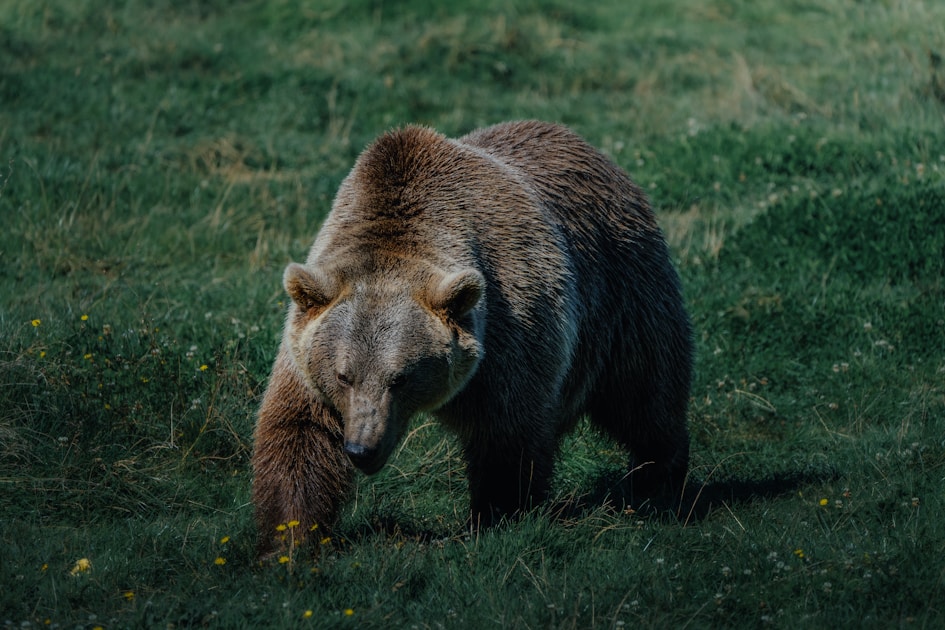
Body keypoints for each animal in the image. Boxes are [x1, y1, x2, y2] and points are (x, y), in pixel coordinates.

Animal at [251, 120, 692, 554]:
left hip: (623, 293)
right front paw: (289, 538)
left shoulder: (508, 326)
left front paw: (495, 517)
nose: (363, 449)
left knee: (645, 392)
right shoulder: (307, 347)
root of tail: (591, 149)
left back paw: (660, 478)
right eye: (344, 376)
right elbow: (299, 430)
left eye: (401, 378)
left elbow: (506, 433)